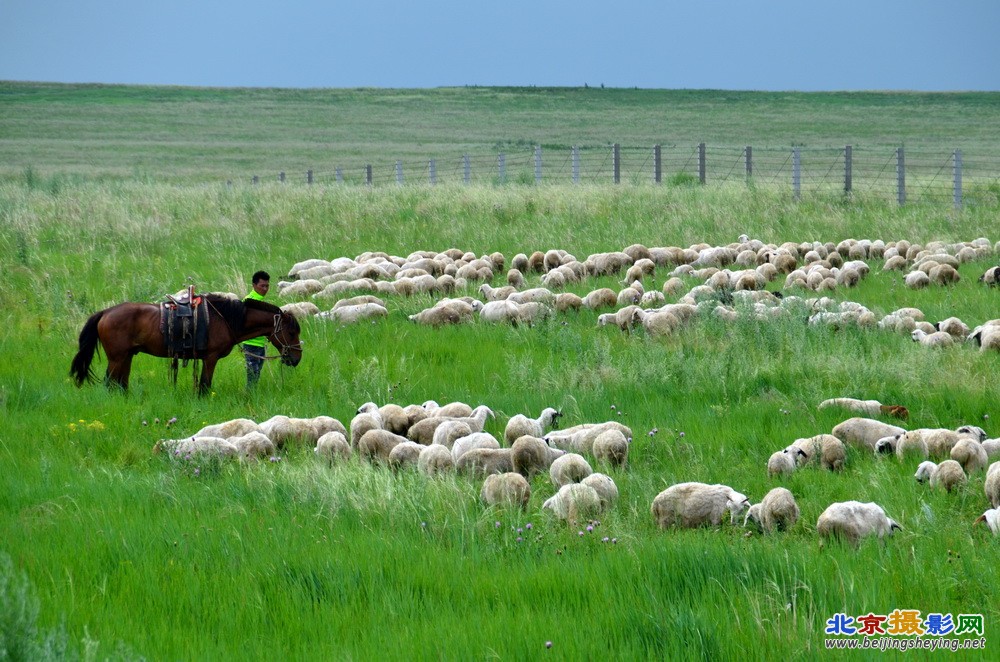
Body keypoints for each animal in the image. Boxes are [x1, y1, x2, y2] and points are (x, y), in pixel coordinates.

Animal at [71, 296, 300, 394]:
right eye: (291, 332)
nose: (296, 358)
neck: (225, 319)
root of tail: (106, 312)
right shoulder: (210, 358)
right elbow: (205, 385)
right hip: (117, 358)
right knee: (110, 382)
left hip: (126, 356)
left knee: (120, 383)